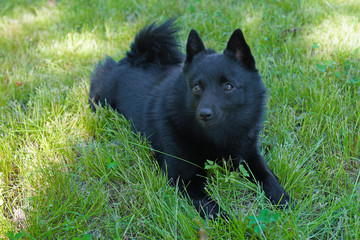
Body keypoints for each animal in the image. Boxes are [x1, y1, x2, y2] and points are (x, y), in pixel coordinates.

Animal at [88, 19, 292, 218]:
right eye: (196, 87)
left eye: (228, 86)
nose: (205, 114)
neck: (215, 136)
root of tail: (131, 59)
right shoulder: (183, 179)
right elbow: (211, 207)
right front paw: (231, 222)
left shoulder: (249, 155)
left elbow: (268, 177)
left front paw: (283, 200)